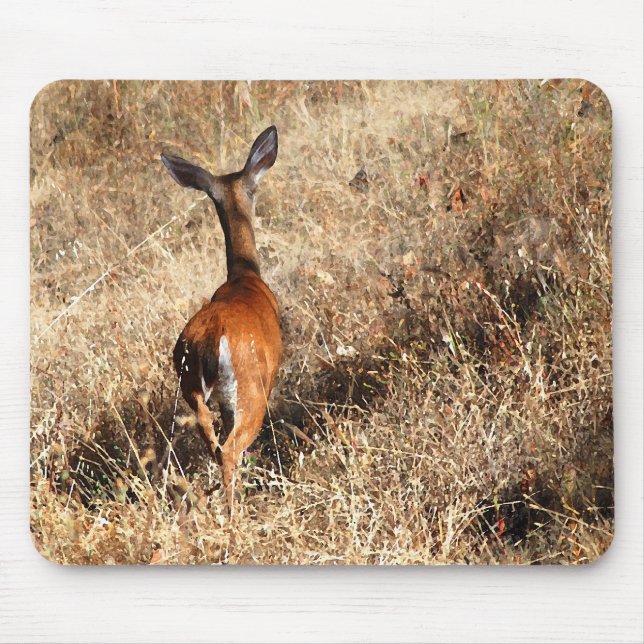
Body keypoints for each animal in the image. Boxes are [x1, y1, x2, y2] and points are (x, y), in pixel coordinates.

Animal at [160, 125, 282, 516]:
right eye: (253, 188)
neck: (245, 276)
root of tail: (213, 338)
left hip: (191, 387)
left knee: (212, 442)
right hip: (249, 389)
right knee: (229, 450)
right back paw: (232, 514)